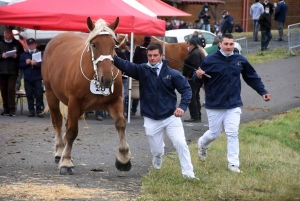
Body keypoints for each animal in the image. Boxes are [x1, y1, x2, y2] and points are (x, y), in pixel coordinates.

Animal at [41, 16, 131, 174]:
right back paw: (60, 152)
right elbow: (71, 131)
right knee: (57, 121)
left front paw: (123, 158)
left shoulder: (115, 101)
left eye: (113, 45)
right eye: (94, 45)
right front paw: (66, 162)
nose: (107, 79)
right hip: (52, 94)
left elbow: (120, 123)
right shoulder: (74, 103)